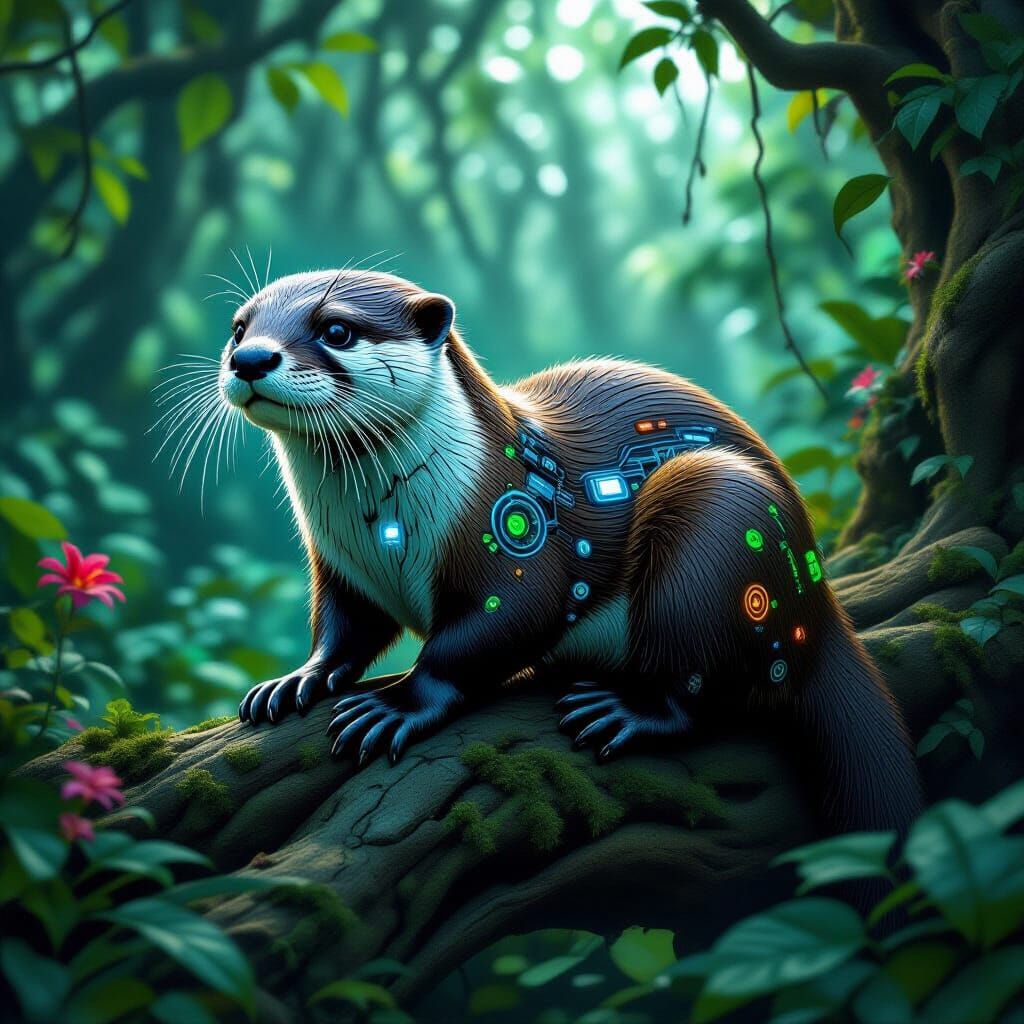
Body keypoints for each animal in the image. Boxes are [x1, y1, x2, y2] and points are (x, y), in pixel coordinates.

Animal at [220, 268, 921, 835]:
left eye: (336, 329)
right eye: (239, 327)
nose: (250, 357)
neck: (381, 532)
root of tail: (820, 601)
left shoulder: (514, 541)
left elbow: (485, 633)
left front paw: (395, 707)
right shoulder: (340, 568)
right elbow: (343, 631)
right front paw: (296, 681)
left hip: (719, 520)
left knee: (701, 684)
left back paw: (625, 713)